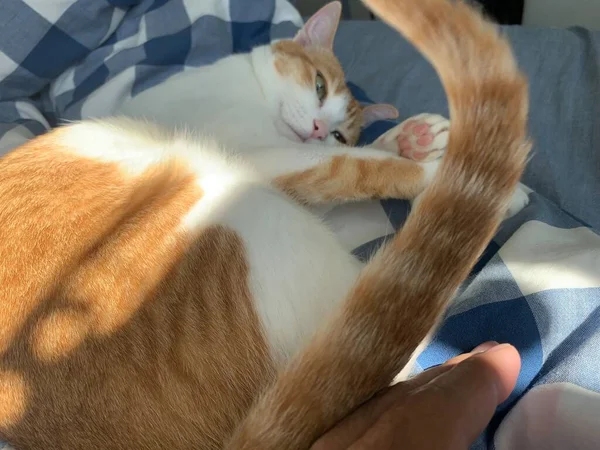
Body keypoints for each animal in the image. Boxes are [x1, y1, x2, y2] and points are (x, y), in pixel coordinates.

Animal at [0, 0, 528, 448]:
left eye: (339, 129)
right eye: (319, 85)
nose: (318, 129)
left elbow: (353, 162)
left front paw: (411, 137)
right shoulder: (270, 158)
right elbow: (358, 167)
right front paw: (441, 171)